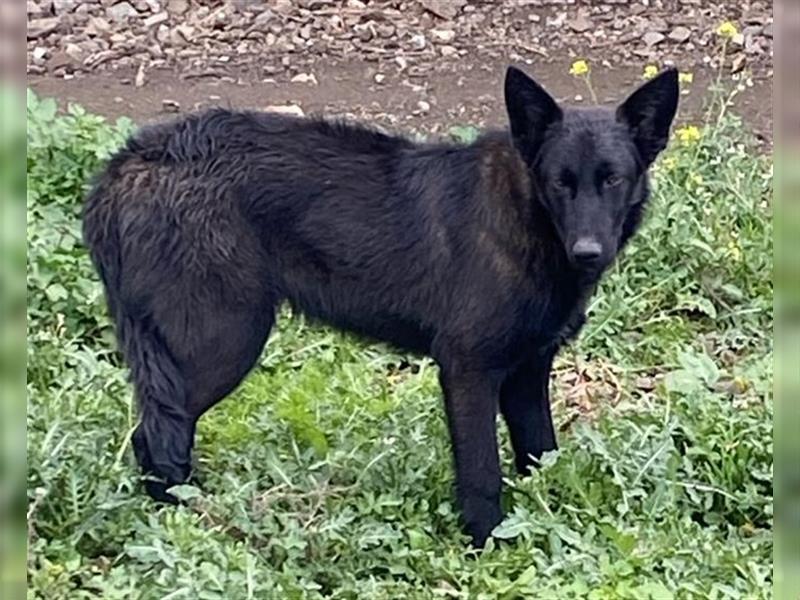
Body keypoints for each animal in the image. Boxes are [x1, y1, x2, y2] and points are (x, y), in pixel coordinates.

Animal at [84, 68, 680, 548]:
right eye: (560, 182)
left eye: (613, 179)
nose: (588, 252)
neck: (525, 216)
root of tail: (126, 165)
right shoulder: (467, 370)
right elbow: (483, 475)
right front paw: (487, 547)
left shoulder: (528, 376)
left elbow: (541, 455)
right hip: (221, 345)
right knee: (155, 437)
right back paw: (187, 521)